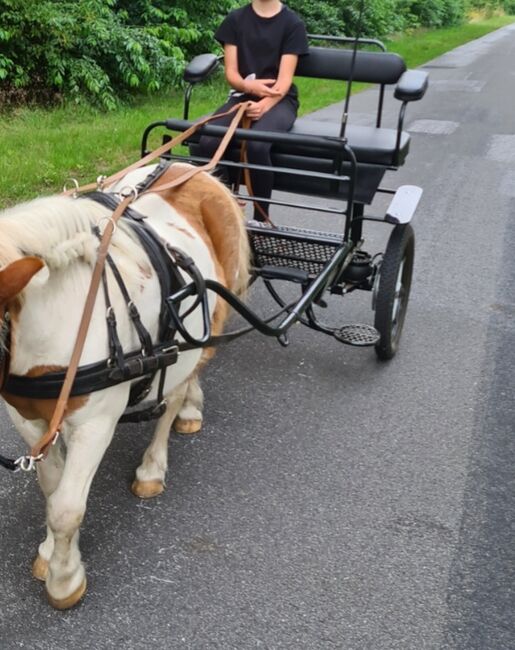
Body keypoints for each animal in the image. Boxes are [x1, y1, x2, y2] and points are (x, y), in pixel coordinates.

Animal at [0, 162, 250, 608]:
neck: (59, 309)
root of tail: (192, 168)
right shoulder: (25, 417)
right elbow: (52, 487)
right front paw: (49, 553)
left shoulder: (95, 423)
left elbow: (66, 507)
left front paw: (65, 580)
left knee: (176, 395)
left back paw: (156, 461)